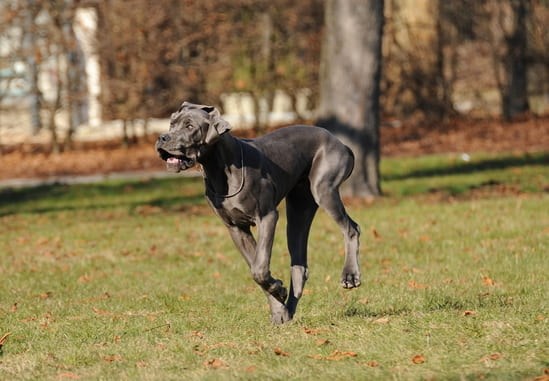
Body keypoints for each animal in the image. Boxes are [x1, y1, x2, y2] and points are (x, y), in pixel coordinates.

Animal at [155, 101, 360, 324]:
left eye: (190, 126)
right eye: (172, 123)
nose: (162, 137)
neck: (220, 168)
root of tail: (340, 142)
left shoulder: (267, 217)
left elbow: (259, 268)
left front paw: (278, 292)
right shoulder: (236, 228)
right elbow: (255, 265)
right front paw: (278, 306)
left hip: (324, 189)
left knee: (352, 228)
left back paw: (350, 276)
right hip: (298, 211)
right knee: (299, 265)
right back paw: (288, 312)